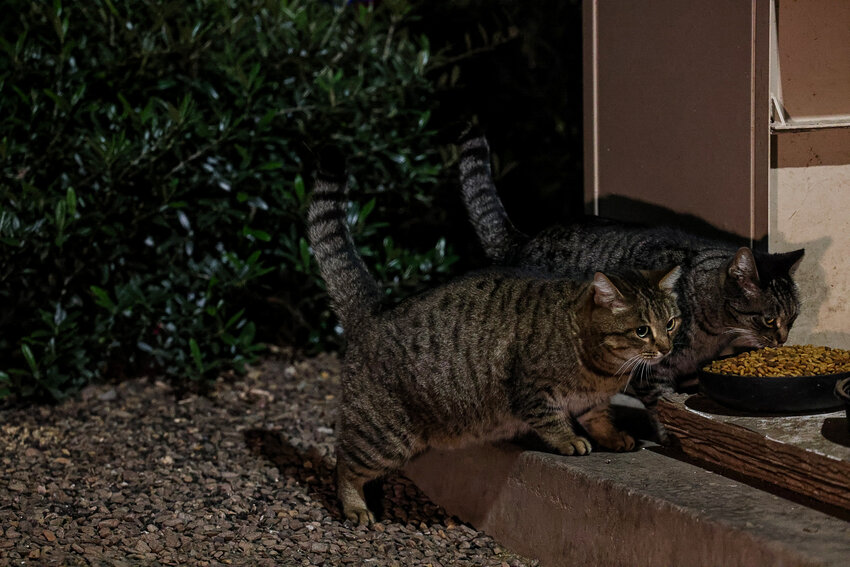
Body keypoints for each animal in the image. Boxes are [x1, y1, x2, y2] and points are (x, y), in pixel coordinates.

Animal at [304, 148, 684, 528]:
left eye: (671, 323)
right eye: (642, 330)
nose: (666, 348)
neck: (603, 365)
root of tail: (375, 312)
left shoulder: (592, 398)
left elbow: (599, 416)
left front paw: (611, 435)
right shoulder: (530, 388)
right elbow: (552, 419)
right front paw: (569, 439)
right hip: (385, 435)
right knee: (345, 463)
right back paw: (355, 506)